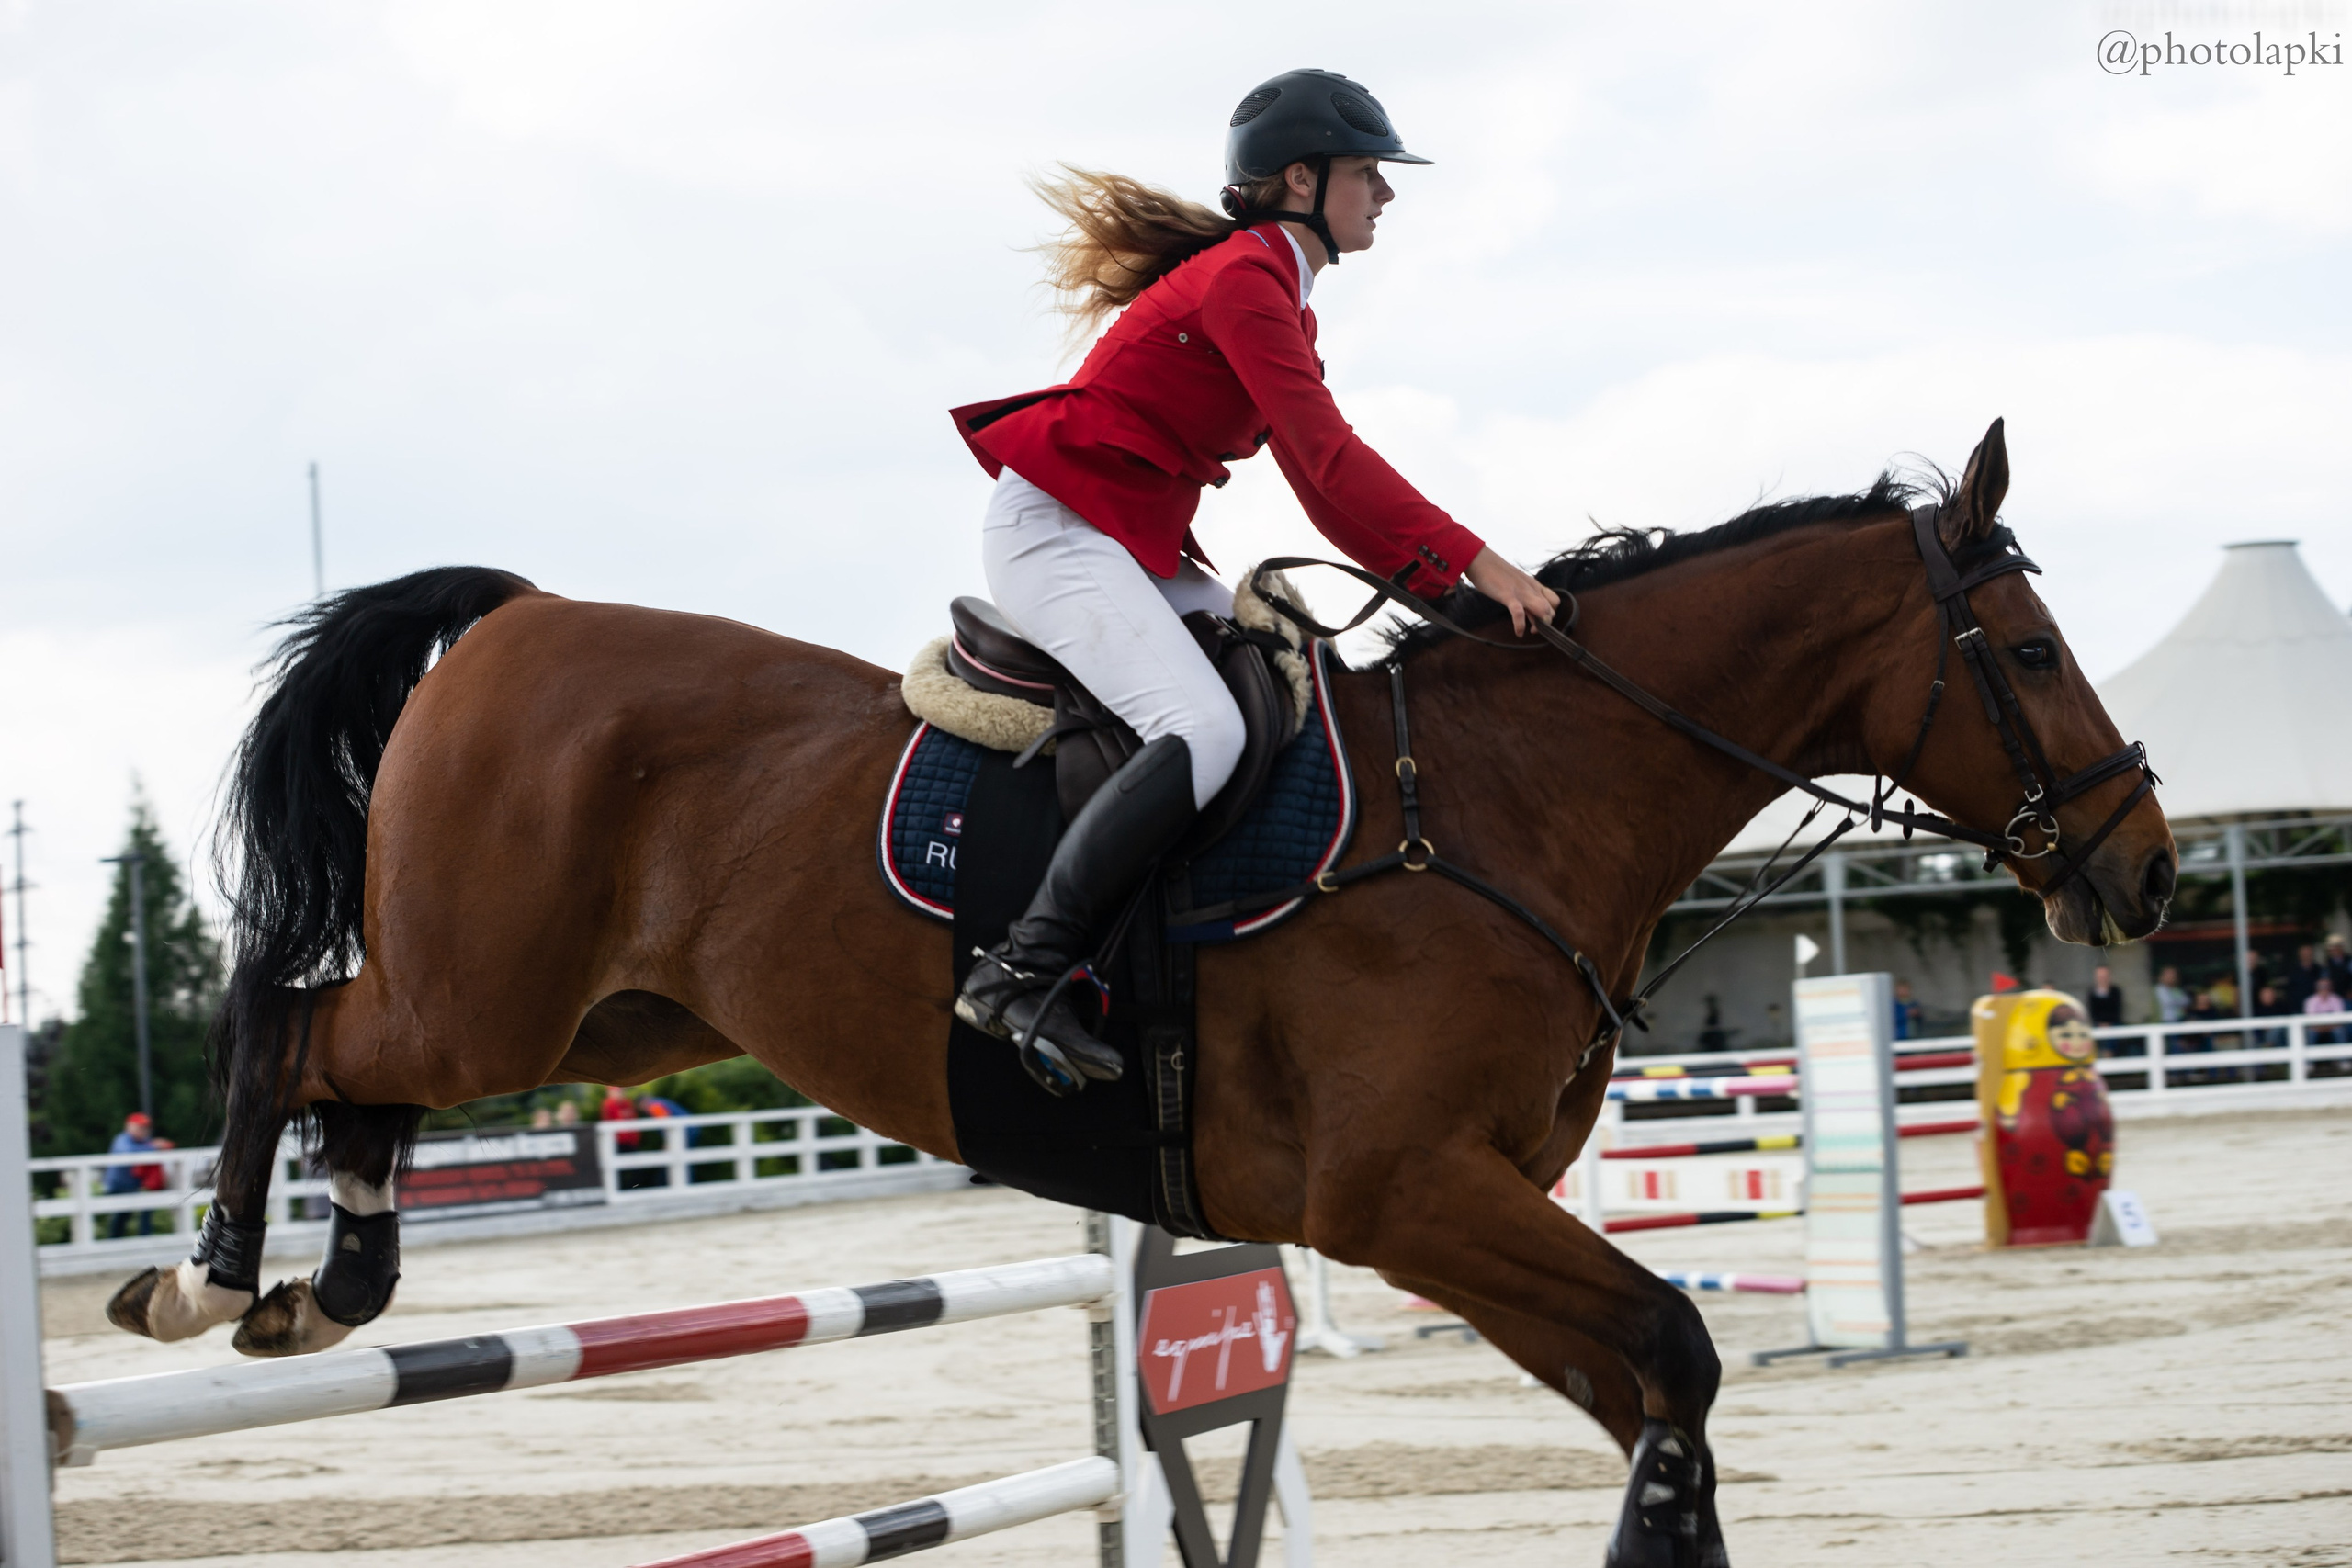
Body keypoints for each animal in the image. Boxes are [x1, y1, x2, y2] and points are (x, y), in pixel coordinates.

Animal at [108, 419, 2171, 1566]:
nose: (2145, 866)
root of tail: (519, 617)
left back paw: (330, 1280)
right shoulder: (1407, 1193)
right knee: (290, 1016)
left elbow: (1655, 1383)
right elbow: (1673, 1348)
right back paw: (211, 1270)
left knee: (359, 1076)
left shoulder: (1467, 1213)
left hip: (607, 1018)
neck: (1509, 798)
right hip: (495, 999)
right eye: (2025, 647)